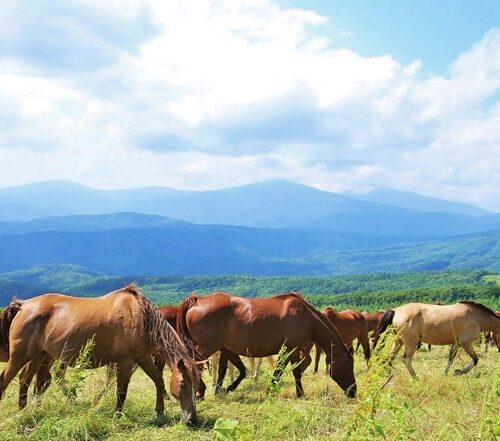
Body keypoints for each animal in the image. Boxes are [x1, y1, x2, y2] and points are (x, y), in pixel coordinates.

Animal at [0, 284, 199, 424]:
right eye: (183, 385)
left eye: (195, 385)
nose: (192, 420)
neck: (141, 317)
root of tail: (23, 305)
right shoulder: (126, 362)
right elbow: (121, 390)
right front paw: (117, 414)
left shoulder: (143, 359)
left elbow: (158, 380)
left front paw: (159, 411)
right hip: (20, 356)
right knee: (6, 380)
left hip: (39, 356)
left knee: (24, 380)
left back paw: (24, 411)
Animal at [176, 292, 356, 398]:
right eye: (348, 367)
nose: (354, 391)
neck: (306, 317)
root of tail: (198, 301)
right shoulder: (289, 350)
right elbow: (282, 372)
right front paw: (273, 392)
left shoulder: (227, 350)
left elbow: (226, 372)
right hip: (205, 349)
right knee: (194, 366)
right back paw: (198, 392)